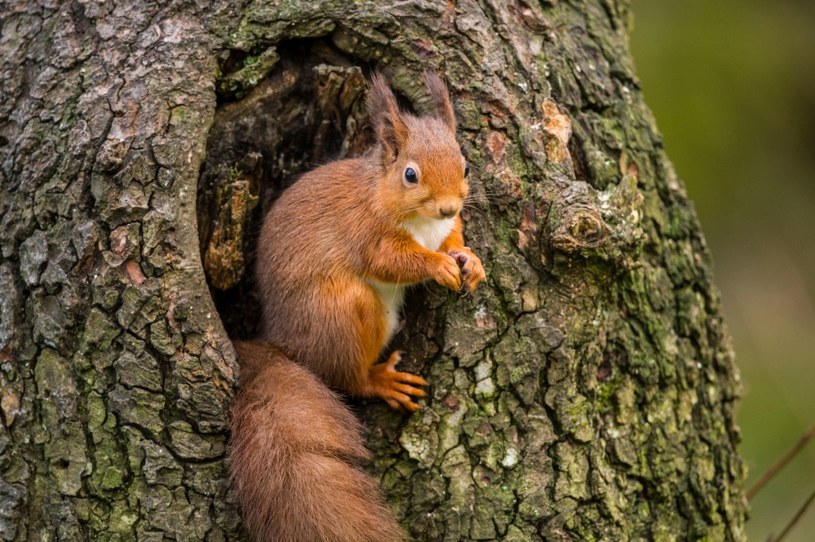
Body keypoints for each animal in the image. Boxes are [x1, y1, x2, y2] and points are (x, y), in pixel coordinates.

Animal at [230, 73, 484, 542]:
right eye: (410, 174)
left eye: (466, 166)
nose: (448, 206)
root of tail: (282, 342)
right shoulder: (366, 232)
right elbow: (391, 262)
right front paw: (437, 265)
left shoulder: (444, 227)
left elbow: (453, 238)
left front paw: (470, 261)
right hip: (344, 312)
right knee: (348, 378)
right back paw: (381, 381)